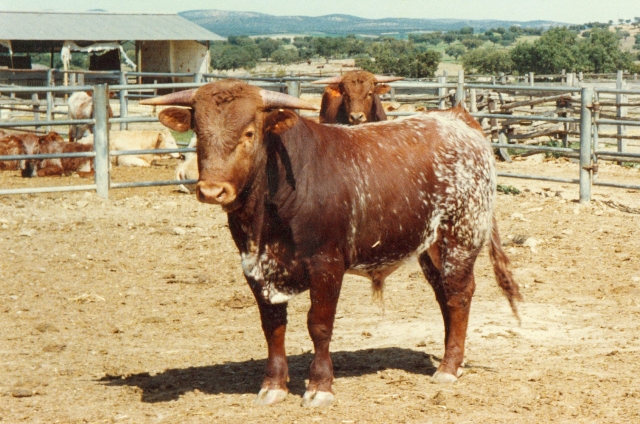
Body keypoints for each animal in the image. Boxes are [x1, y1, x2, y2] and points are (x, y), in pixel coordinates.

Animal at [142, 79, 524, 408]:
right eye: (198, 132)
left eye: (249, 133)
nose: (211, 190)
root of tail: (457, 117)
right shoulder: (253, 266)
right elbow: (273, 326)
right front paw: (273, 386)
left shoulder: (326, 264)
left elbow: (319, 325)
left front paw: (320, 387)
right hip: (430, 247)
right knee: (444, 296)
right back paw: (447, 358)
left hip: (462, 235)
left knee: (459, 295)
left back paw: (449, 367)